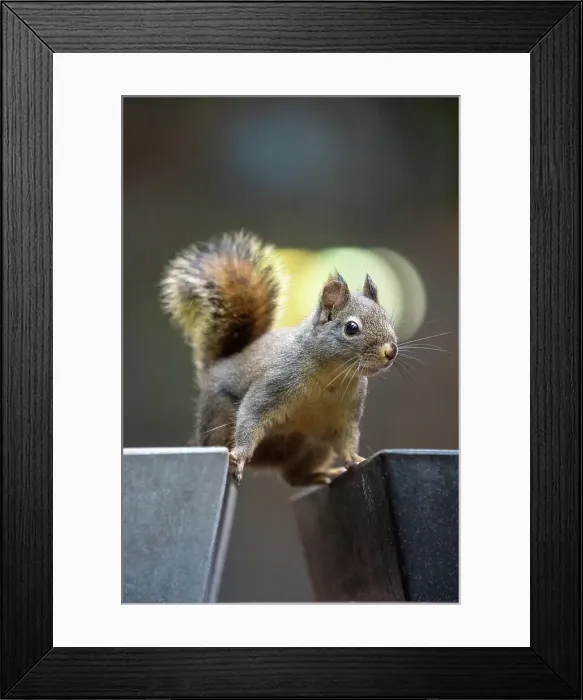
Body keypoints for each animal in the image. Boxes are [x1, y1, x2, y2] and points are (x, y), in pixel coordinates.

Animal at [160, 229, 399, 487]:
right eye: (351, 328)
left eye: (387, 319)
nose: (391, 351)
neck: (332, 374)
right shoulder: (277, 381)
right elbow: (252, 414)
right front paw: (240, 455)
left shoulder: (347, 414)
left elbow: (346, 440)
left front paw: (353, 458)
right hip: (218, 421)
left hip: (313, 446)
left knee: (293, 476)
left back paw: (321, 474)